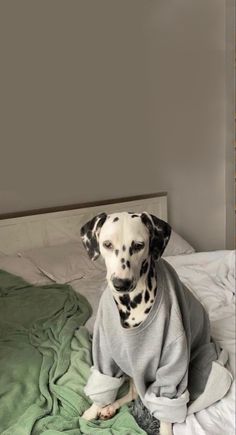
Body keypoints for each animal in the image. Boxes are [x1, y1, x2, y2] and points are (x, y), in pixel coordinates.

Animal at [80, 213, 172, 435]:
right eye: (107, 244)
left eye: (139, 245)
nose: (121, 283)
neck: (130, 303)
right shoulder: (105, 355)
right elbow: (103, 383)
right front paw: (93, 410)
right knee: (131, 393)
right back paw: (109, 407)